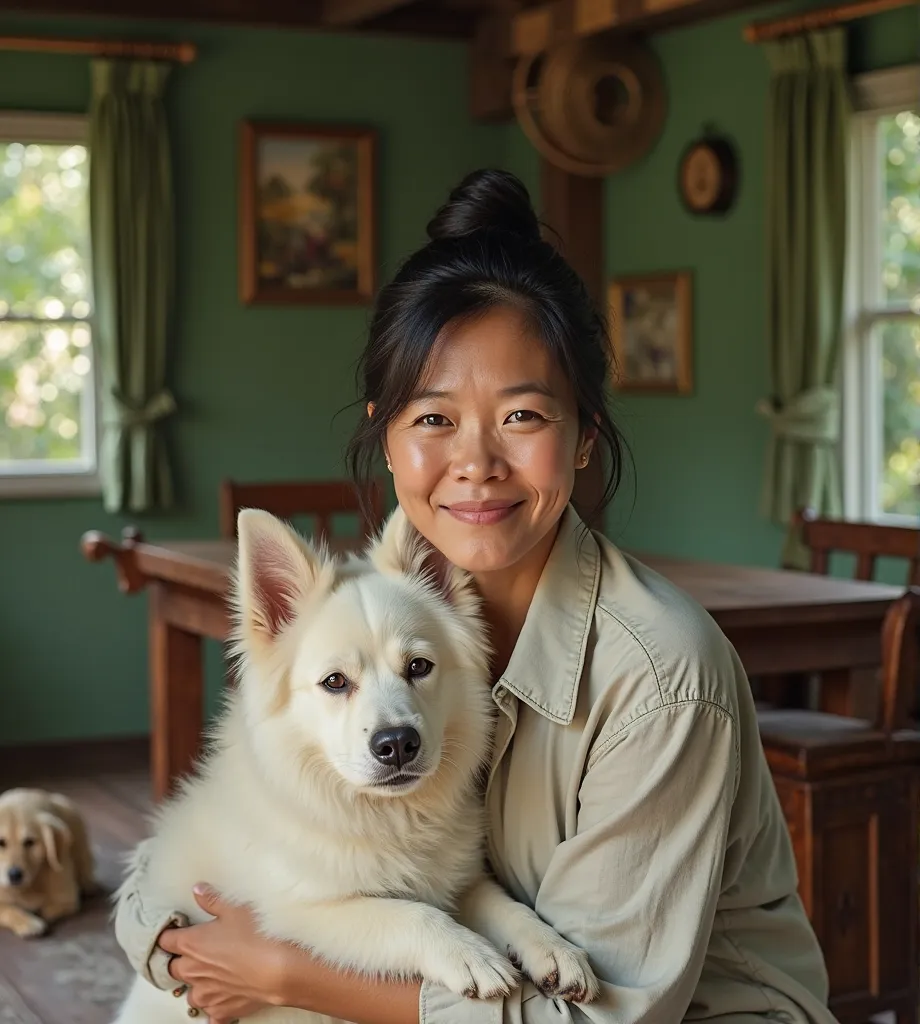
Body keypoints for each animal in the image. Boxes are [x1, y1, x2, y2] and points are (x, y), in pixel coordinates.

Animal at [0, 786, 95, 937]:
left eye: (30, 842)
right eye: (1, 843)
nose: (14, 875)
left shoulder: (68, 896)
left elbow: (50, 909)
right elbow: (8, 909)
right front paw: (28, 922)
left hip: (74, 817)